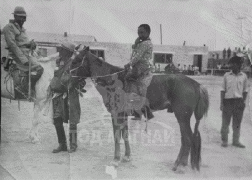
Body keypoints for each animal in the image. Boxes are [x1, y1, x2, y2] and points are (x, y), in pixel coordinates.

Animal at [70, 46, 210, 172]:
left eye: (77, 60)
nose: (69, 76)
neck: (112, 81)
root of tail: (196, 85)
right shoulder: (123, 115)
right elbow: (125, 134)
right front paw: (127, 156)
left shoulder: (116, 114)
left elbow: (117, 136)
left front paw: (116, 159)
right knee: (186, 138)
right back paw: (180, 163)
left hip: (182, 117)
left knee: (188, 139)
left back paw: (180, 165)